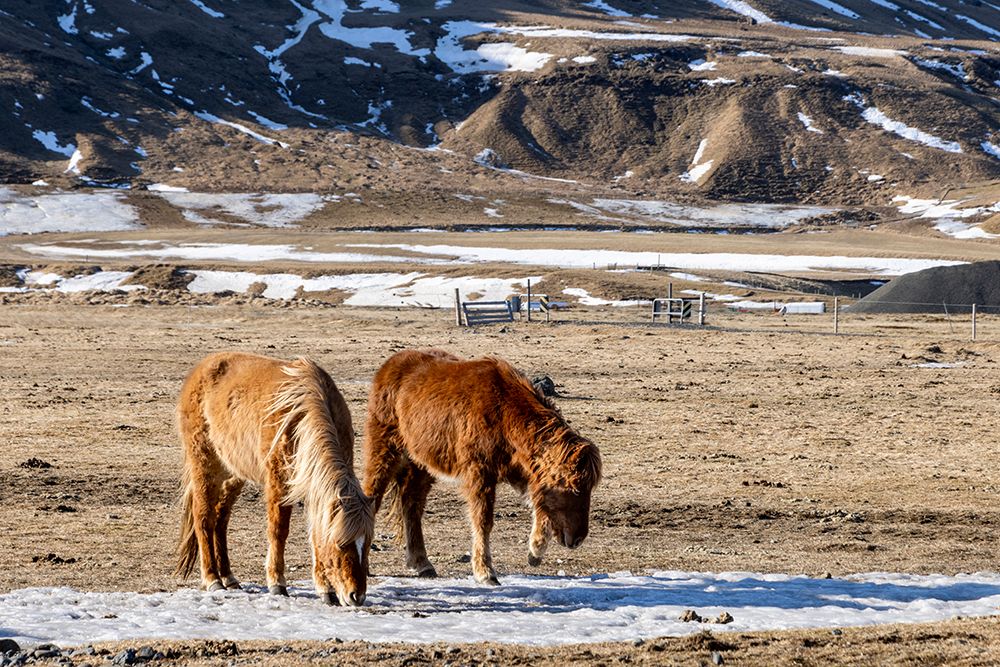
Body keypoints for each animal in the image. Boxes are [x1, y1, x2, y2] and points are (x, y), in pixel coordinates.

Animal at [174, 351, 373, 606]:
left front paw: (325, 590)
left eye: (367, 544)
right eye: (340, 544)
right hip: (204, 465)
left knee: (220, 519)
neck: (301, 418)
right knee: (203, 519)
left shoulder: (311, 486)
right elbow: (278, 531)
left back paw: (229, 578)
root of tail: (201, 369)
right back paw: (212, 579)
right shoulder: (279, 482)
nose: (356, 596)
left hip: (233, 473)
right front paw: (277, 583)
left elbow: (314, 533)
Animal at [362, 348, 601, 585]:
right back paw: (364, 566)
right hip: (384, 450)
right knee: (372, 496)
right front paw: (485, 572)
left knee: (411, 504)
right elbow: (483, 520)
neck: (504, 411)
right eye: (574, 489)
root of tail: (390, 366)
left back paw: (422, 563)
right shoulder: (480, 473)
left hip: (422, 463)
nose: (577, 539)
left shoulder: (524, 472)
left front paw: (535, 551)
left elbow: (541, 505)